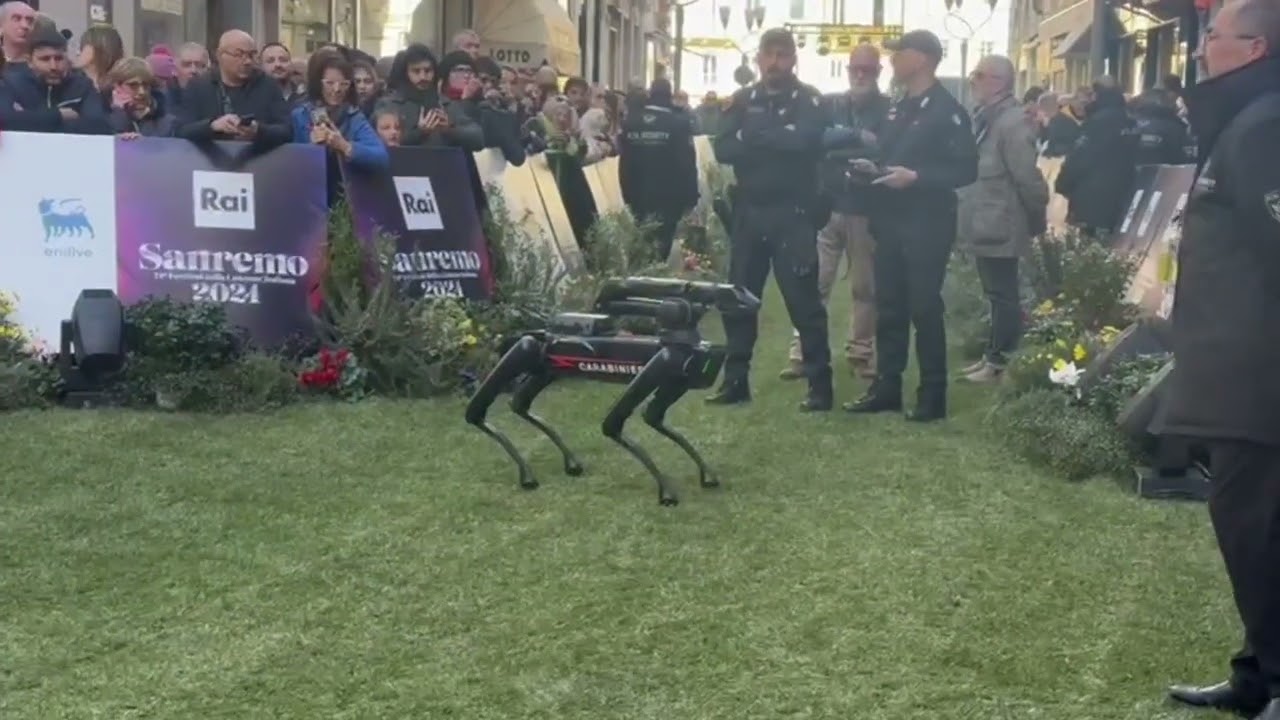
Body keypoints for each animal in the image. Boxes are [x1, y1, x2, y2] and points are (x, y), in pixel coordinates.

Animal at [468, 274, 757, 504]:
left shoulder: (675, 381)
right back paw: (528, 474)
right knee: (478, 409)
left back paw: (568, 463)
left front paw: (706, 476)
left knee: (519, 403)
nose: (752, 301)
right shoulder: (662, 363)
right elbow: (613, 424)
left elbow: (652, 418)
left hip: (544, 370)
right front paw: (666, 492)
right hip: (529, 353)